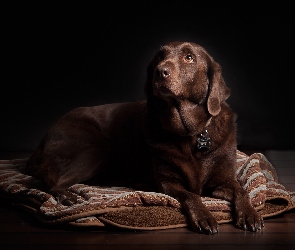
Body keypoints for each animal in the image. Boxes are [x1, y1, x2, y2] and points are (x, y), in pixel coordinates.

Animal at [26, 41, 264, 234]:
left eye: (189, 57)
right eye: (160, 56)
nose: (160, 71)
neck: (190, 133)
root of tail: (39, 145)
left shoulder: (224, 180)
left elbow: (242, 191)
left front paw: (250, 214)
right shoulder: (168, 183)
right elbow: (192, 195)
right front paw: (205, 216)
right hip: (96, 148)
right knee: (49, 180)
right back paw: (68, 195)